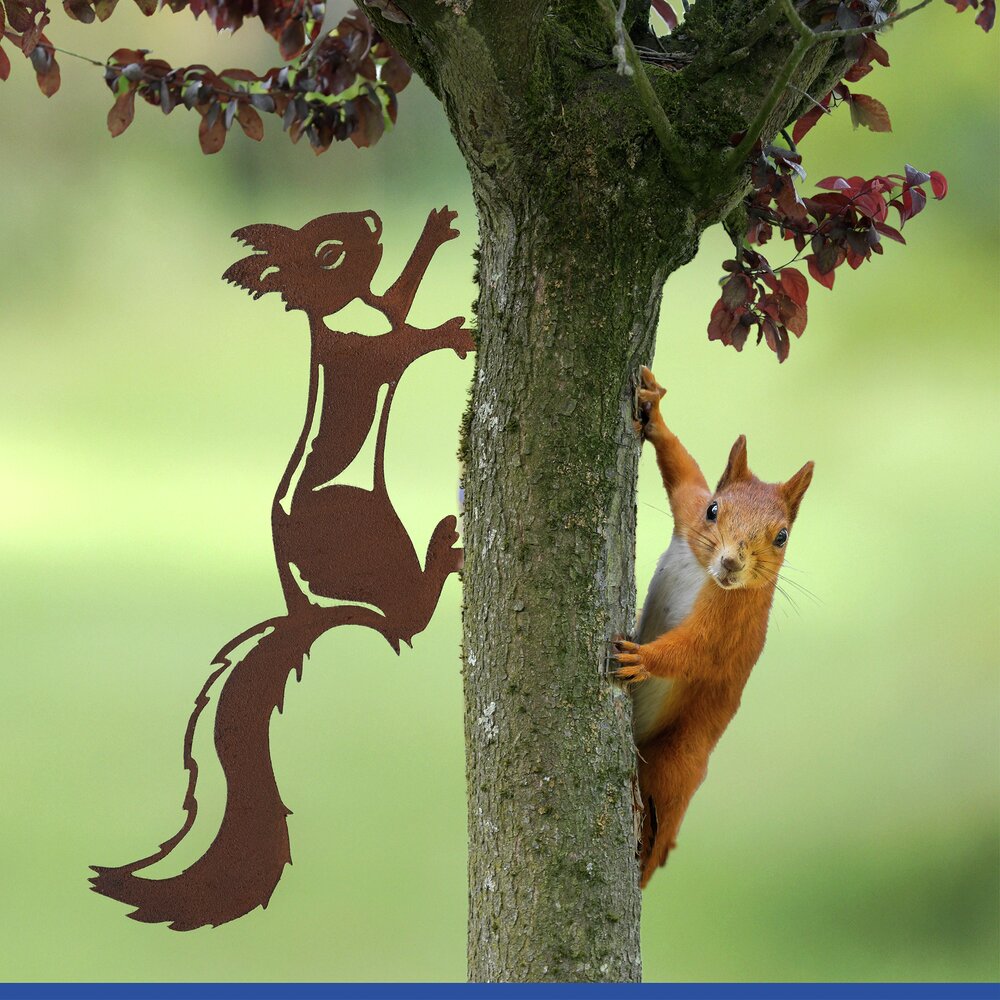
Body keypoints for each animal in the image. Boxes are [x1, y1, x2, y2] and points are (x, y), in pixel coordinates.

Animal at [90, 207, 473, 930]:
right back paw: (443, 551)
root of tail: (304, 607)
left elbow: (401, 294)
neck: (345, 309)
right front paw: (453, 332)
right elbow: (405, 343)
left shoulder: (381, 311)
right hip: (368, 537)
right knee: (407, 620)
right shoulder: (366, 351)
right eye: (327, 252)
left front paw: (435, 231)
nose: (374, 219)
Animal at [611, 365, 813, 888]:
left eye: (782, 537)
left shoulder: (730, 627)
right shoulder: (687, 512)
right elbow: (682, 473)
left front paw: (643, 658)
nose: (731, 564)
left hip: (676, 761)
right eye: (714, 510)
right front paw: (656, 414)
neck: (706, 574)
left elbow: (695, 652)